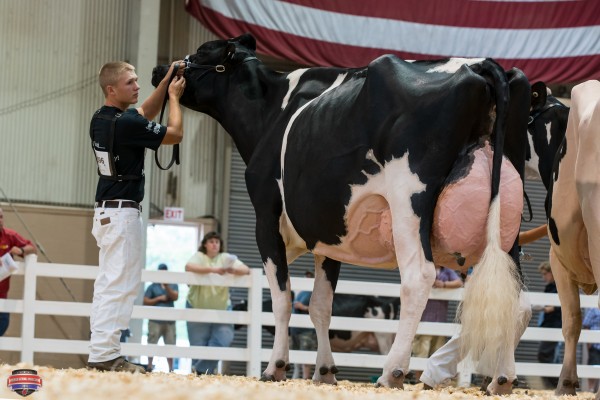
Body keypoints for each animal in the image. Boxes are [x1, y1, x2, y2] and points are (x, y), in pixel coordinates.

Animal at [151, 34, 528, 394]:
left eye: (203, 52)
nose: (159, 70)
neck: (270, 113)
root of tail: (480, 64)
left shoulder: (266, 219)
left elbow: (283, 299)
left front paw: (275, 367)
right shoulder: (329, 237)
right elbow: (321, 305)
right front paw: (325, 372)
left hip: (408, 201)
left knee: (419, 276)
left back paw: (392, 372)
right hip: (508, 225)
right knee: (514, 296)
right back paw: (502, 379)